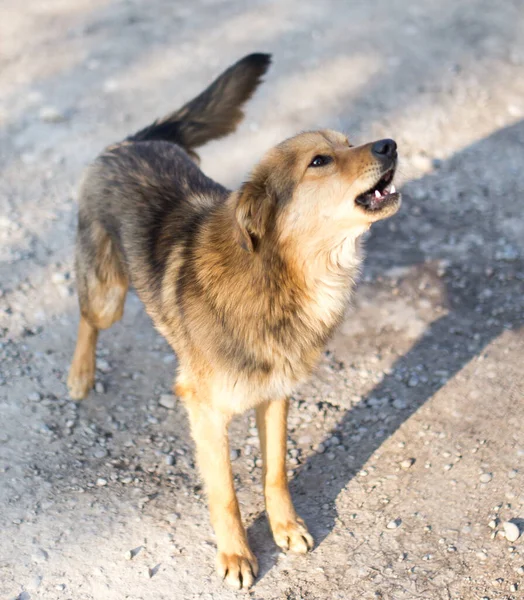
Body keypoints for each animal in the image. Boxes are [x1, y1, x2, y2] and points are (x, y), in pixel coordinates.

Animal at [65, 55, 402, 592]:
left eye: (349, 142)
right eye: (319, 161)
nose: (390, 144)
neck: (281, 276)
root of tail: (137, 139)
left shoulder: (277, 394)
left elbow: (275, 471)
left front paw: (285, 527)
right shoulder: (204, 411)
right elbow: (224, 492)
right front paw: (236, 555)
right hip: (108, 294)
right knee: (87, 318)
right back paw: (80, 374)